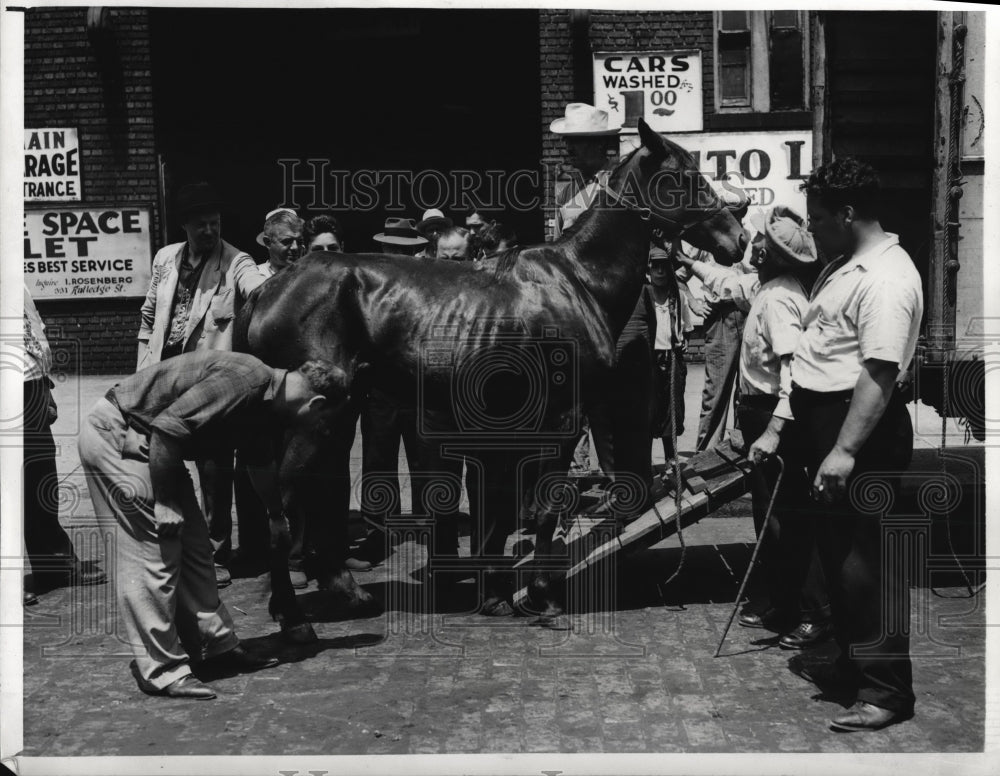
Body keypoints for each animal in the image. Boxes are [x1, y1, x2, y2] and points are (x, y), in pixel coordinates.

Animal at [238, 118, 748, 640]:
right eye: (683, 177)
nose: (739, 236)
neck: (578, 281)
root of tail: (266, 290)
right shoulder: (561, 418)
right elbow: (542, 507)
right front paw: (544, 598)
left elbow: (502, 512)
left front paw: (498, 595)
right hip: (314, 421)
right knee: (282, 507)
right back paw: (293, 616)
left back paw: (343, 592)